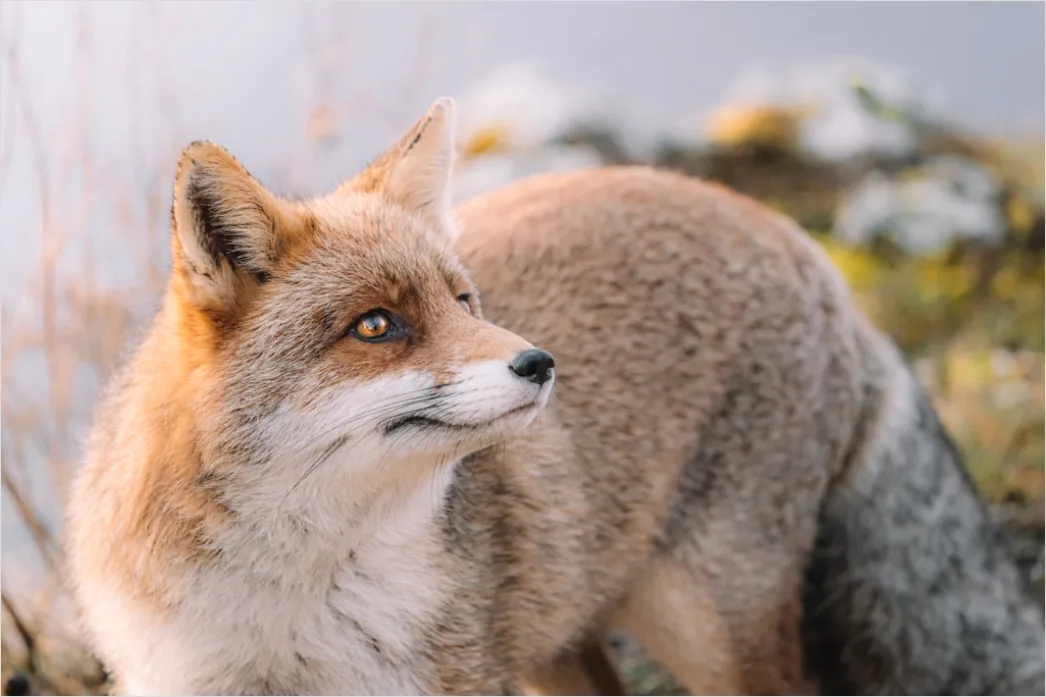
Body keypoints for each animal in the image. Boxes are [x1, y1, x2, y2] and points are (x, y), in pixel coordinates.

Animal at [64, 96, 1045, 696]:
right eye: (378, 325)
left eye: (463, 301)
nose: (540, 363)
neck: (288, 601)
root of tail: (792, 236)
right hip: (564, 639)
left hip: (705, 624)